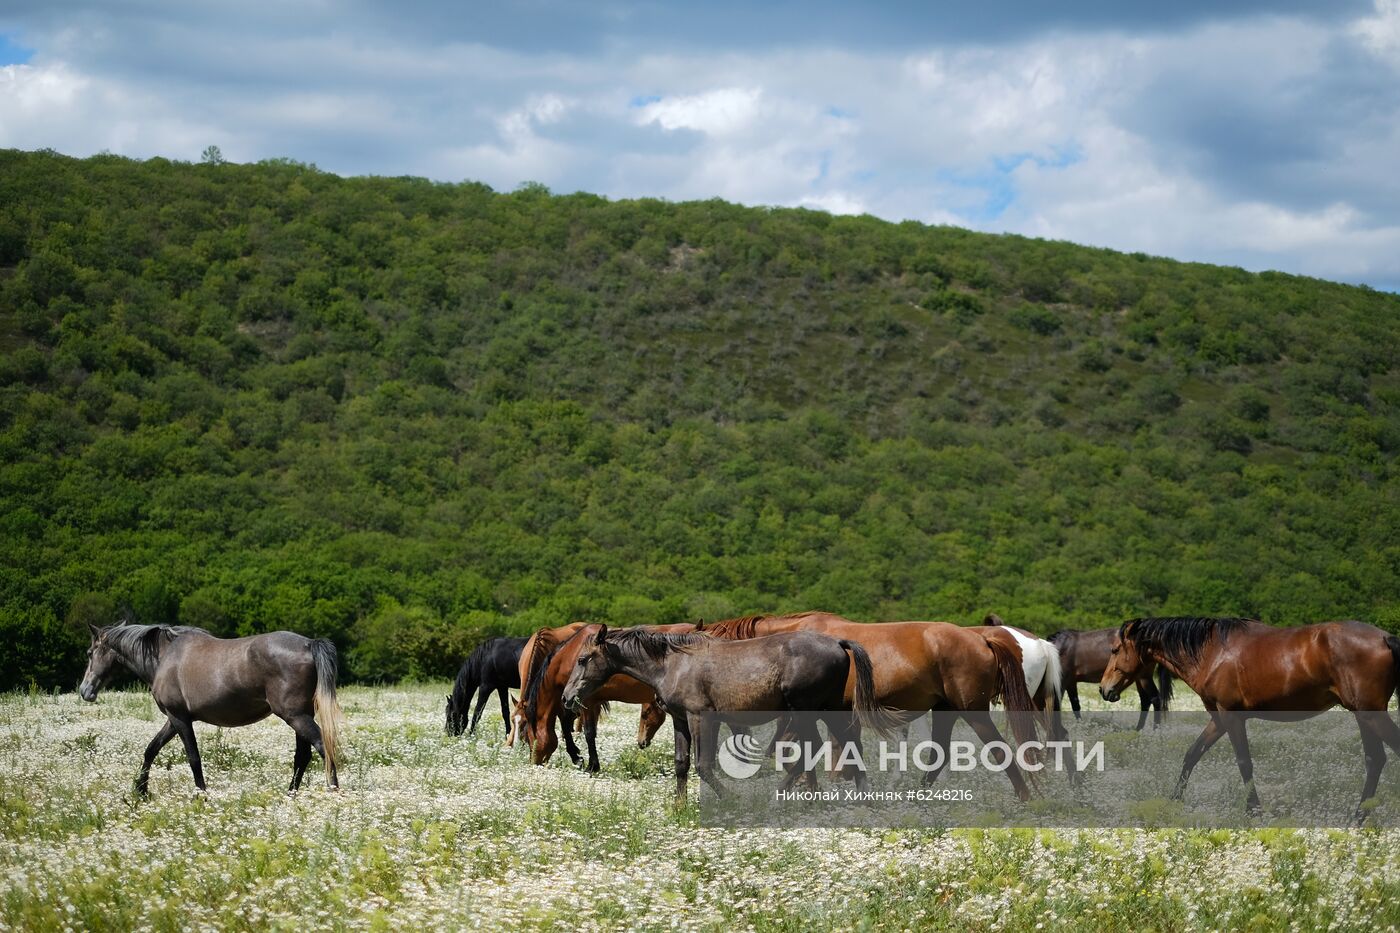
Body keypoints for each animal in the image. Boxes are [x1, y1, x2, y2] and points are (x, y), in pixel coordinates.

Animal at [78, 616, 341, 790]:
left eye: (90, 653)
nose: (84, 691)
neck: (165, 656)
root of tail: (309, 644)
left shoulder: (179, 719)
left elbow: (193, 758)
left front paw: (201, 795)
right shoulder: (174, 719)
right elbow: (151, 749)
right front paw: (140, 791)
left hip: (295, 716)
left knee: (322, 746)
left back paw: (333, 792)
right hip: (300, 716)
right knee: (303, 756)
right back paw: (291, 795)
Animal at [520, 624, 666, 767]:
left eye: (528, 738)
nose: (533, 763)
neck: (571, 655)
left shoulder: (583, 700)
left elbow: (586, 731)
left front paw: (589, 764)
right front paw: (578, 756)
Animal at [700, 610, 1052, 801]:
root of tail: (982, 639)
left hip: (973, 713)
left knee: (999, 750)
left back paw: (1025, 798)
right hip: (945, 711)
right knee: (939, 754)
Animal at [1047, 624, 1176, 728]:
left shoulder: (1063, 681)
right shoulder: (1070, 682)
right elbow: (1075, 705)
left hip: (1144, 678)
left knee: (1155, 699)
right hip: (1139, 678)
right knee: (1145, 700)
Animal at [1097, 616, 1400, 823]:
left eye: (1115, 650)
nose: (1104, 689)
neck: (1212, 652)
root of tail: (1385, 638)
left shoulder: (1232, 718)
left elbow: (1244, 763)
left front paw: (1254, 811)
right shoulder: (1219, 719)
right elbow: (1192, 754)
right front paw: (1173, 802)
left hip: (1370, 715)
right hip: (1363, 716)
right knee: (1375, 760)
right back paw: (1358, 817)